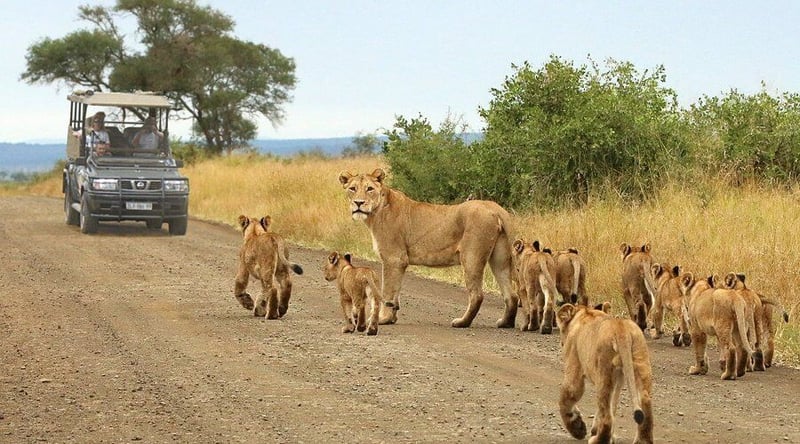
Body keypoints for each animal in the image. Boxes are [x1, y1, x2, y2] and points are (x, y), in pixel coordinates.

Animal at [338, 168, 518, 328]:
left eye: (369, 189)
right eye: (352, 189)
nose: (359, 203)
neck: (376, 212)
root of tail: (495, 208)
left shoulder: (394, 258)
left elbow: (388, 290)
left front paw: (382, 319)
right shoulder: (399, 262)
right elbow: (396, 292)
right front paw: (391, 318)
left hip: (471, 257)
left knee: (477, 295)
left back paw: (461, 322)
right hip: (500, 258)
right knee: (511, 295)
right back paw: (505, 323)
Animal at [556, 303, 654, 444]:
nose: (561, 343)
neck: (584, 313)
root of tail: (621, 328)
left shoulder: (574, 365)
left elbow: (567, 396)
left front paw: (578, 428)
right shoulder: (619, 378)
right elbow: (613, 406)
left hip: (604, 371)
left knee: (607, 416)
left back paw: (598, 440)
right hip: (640, 363)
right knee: (644, 403)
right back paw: (642, 441)